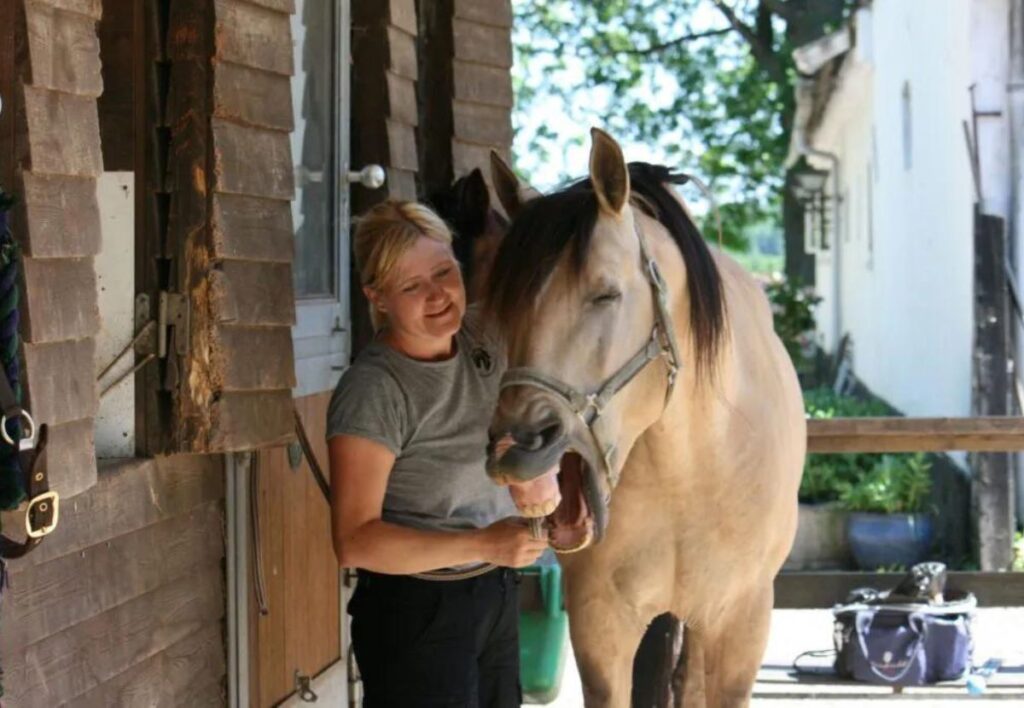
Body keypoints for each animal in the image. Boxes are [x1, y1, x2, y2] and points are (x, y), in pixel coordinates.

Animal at [483, 130, 802, 704]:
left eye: (606, 294)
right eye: (506, 306)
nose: (515, 447)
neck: (690, 467)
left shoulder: (741, 623)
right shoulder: (600, 625)